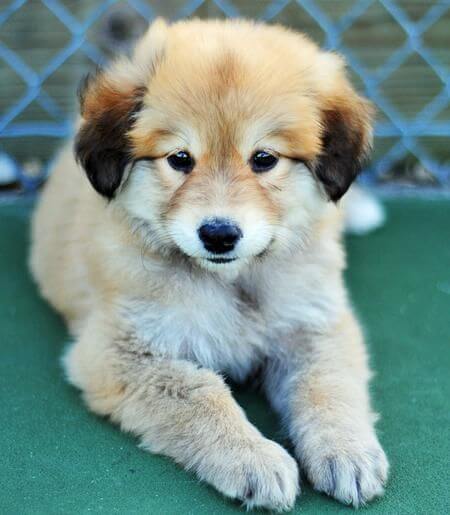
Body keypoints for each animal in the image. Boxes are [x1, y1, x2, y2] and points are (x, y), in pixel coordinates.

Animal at [29, 19, 386, 512]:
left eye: (264, 158)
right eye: (180, 159)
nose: (218, 234)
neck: (233, 279)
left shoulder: (314, 324)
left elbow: (328, 383)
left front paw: (347, 449)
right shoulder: (117, 352)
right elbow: (201, 394)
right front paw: (253, 458)